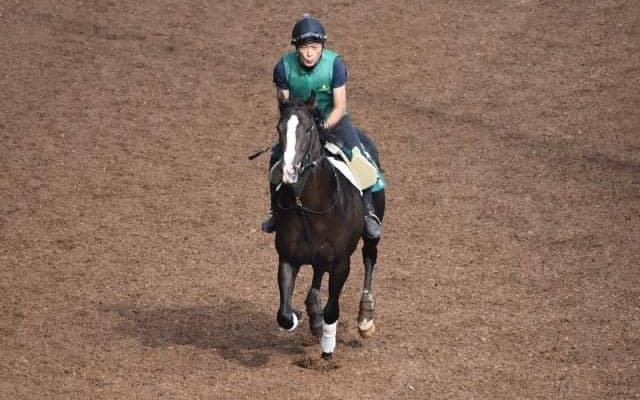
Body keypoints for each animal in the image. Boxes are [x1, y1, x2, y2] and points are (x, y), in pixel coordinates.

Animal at [272, 92, 385, 359]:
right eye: (279, 128)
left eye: (308, 129)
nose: (289, 172)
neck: (309, 207)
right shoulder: (287, 258)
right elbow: (283, 314)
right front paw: (299, 315)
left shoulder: (341, 262)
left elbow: (333, 309)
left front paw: (327, 349)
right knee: (317, 271)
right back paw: (313, 312)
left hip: (371, 232)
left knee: (369, 257)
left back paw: (365, 316)